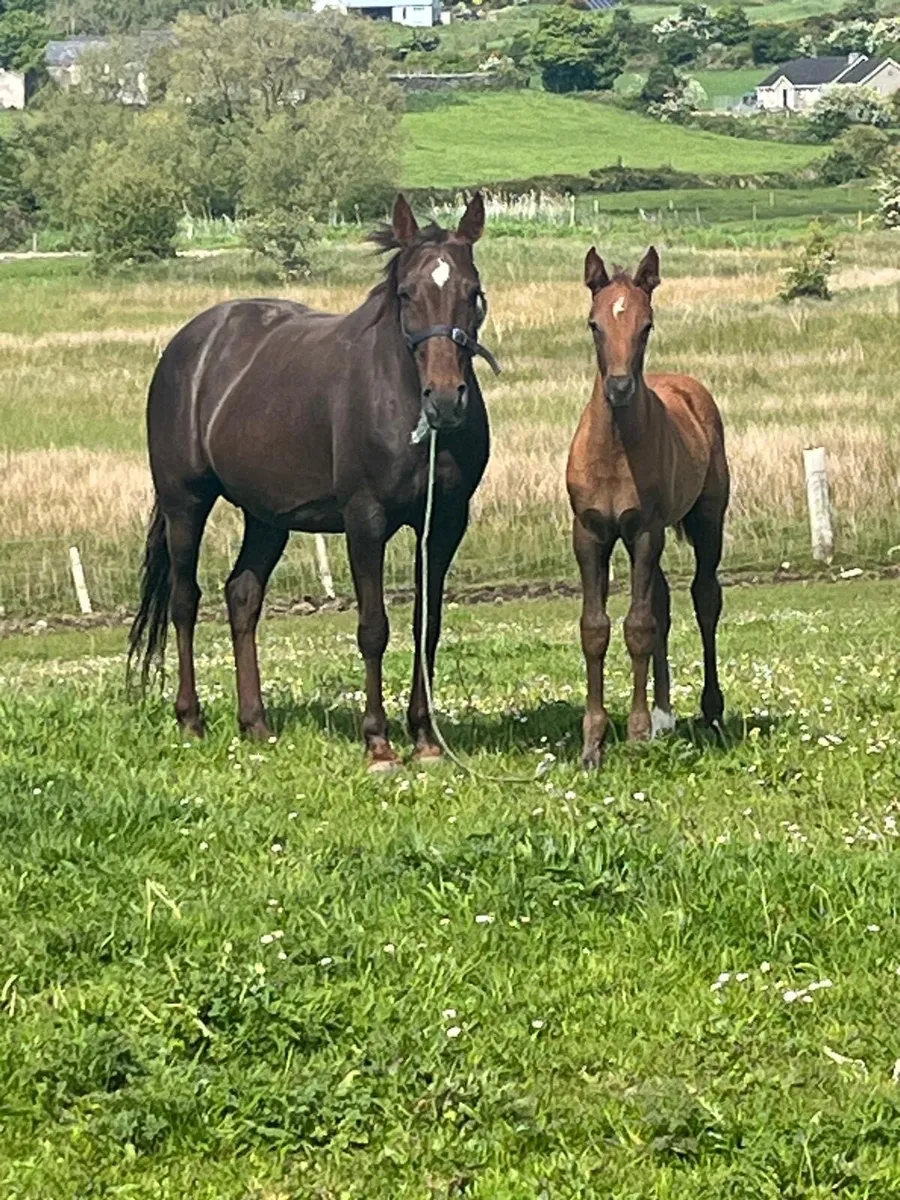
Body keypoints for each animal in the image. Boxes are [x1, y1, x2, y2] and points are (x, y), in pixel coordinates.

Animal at [128, 193, 498, 771]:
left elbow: (427, 625)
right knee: (185, 600)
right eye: (407, 293)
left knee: (242, 596)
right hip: (184, 501)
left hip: (266, 517)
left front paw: (426, 739)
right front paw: (378, 742)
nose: (444, 399)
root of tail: (188, 344)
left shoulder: (443, 524)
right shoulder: (365, 520)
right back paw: (190, 719)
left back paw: (255, 723)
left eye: (473, 293)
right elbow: (374, 628)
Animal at [566, 246, 730, 769]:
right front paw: (593, 744)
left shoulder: (643, 532)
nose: (619, 388)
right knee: (663, 602)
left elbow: (637, 626)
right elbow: (595, 628)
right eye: (594, 324)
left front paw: (635, 735)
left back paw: (710, 713)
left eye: (647, 326)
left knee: (704, 599)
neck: (615, 449)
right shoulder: (589, 534)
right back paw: (663, 716)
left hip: (707, 520)